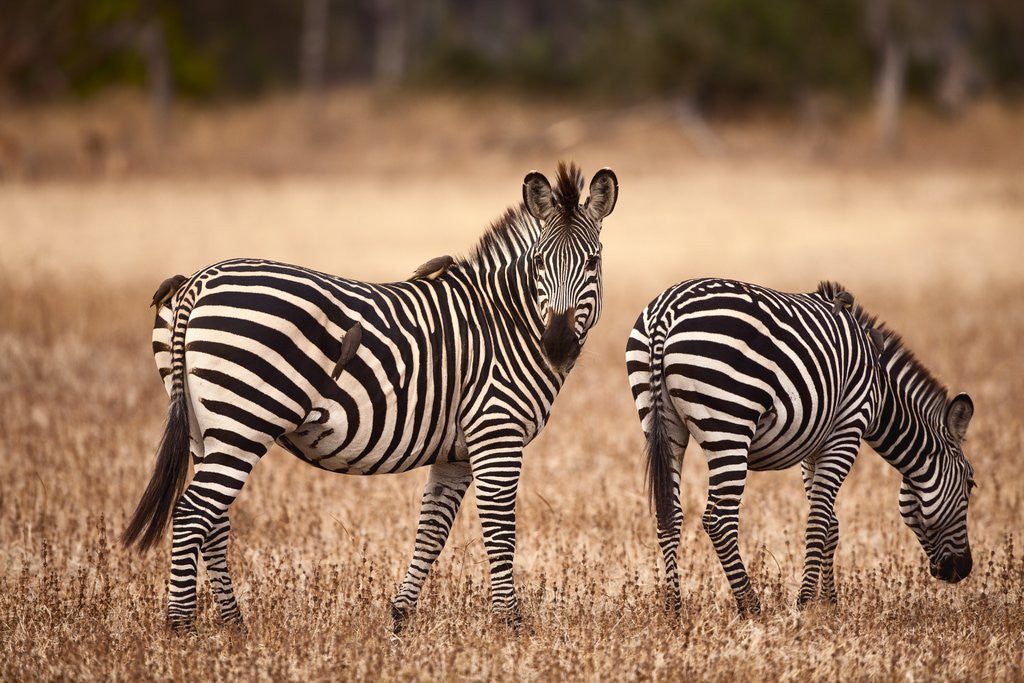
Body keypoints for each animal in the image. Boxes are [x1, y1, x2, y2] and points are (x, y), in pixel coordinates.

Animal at [122, 162, 619, 632]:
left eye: (592, 263)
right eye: (539, 264)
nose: (556, 346)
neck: (507, 320)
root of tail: (198, 282)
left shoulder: (457, 452)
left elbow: (432, 531)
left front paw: (400, 616)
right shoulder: (497, 432)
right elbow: (500, 531)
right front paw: (510, 625)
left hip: (204, 425)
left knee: (214, 520)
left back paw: (233, 625)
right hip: (244, 420)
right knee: (192, 514)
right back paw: (182, 629)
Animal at [626, 278, 975, 614]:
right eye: (971, 484)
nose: (963, 570)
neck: (879, 389)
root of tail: (665, 313)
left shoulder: (813, 445)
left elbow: (831, 524)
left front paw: (830, 603)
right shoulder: (847, 429)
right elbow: (819, 521)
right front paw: (806, 604)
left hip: (662, 422)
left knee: (669, 514)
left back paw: (674, 610)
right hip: (730, 422)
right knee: (719, 519)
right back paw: (751, 607)